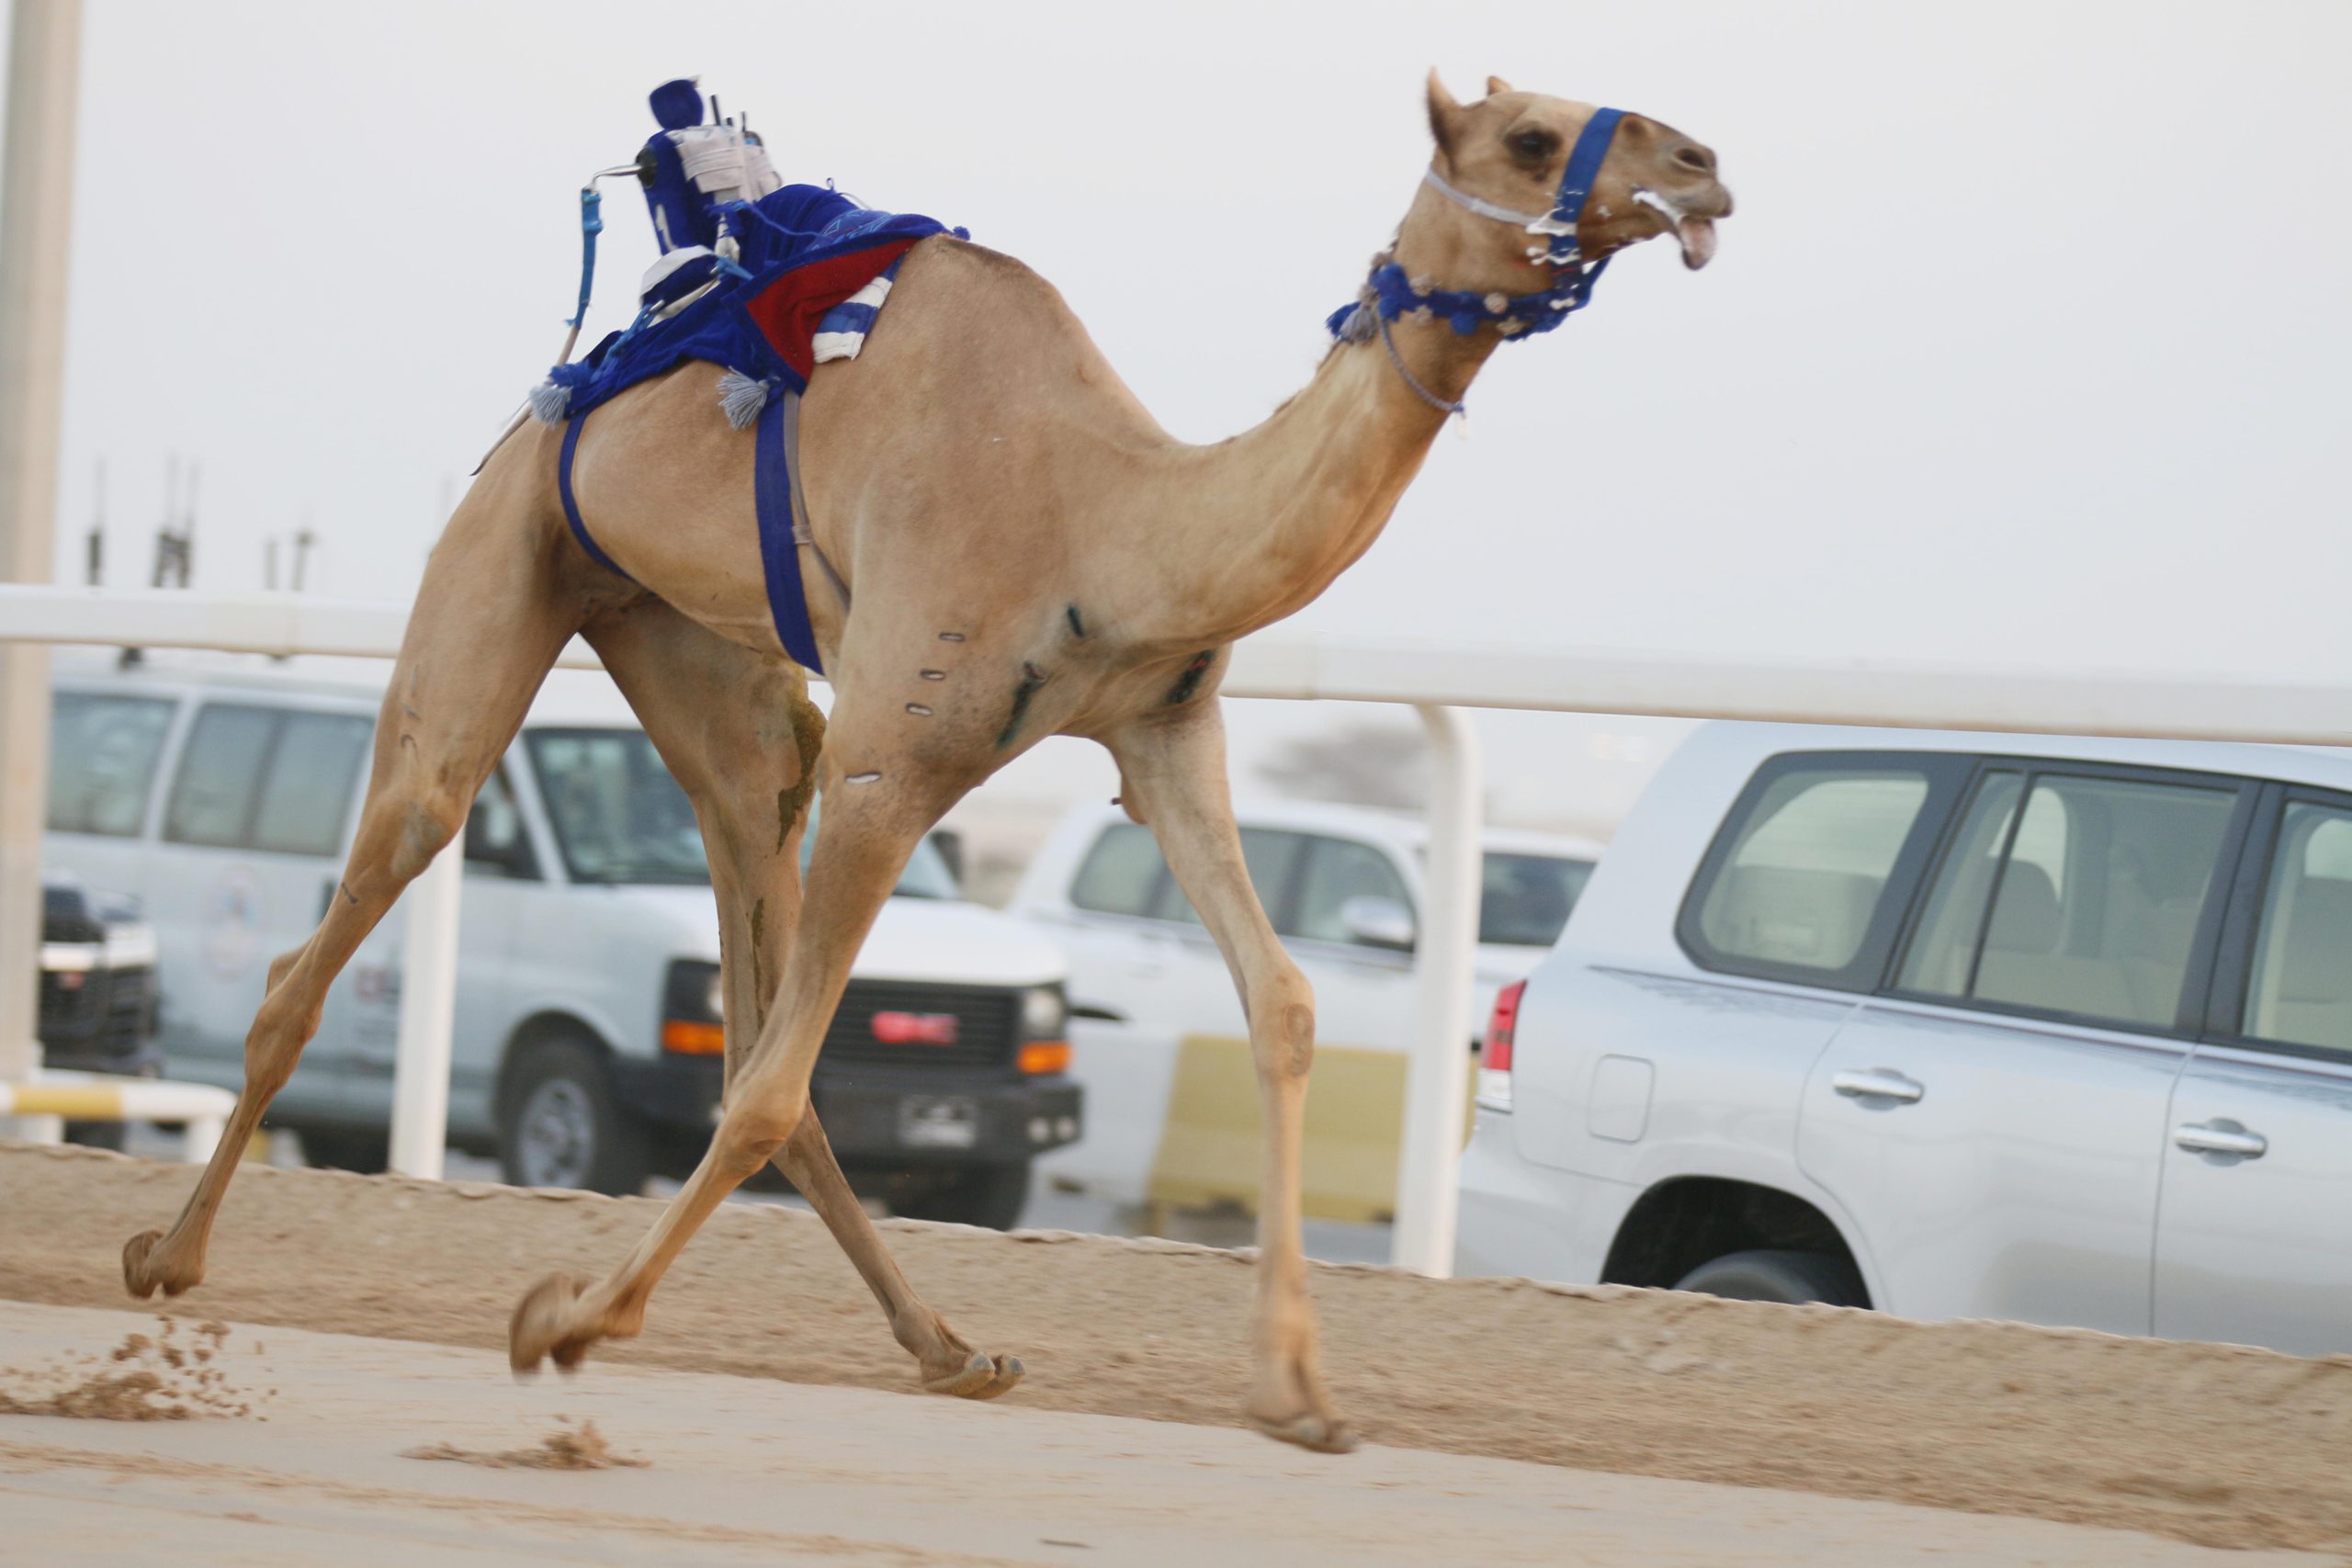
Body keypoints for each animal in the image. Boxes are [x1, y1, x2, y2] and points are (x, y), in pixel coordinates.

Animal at [120, 73, 1730, 1451]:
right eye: (1531, 135)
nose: (1702, 164)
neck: (1108, 513)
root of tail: (583, 374)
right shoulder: (892, 766)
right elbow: (769, 1084)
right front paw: (563, 1321)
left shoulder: (1160, 732)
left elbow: (1279, 1000)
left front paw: (1300, 1389)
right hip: (508, 547)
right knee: (379, 879)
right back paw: (163, 1256)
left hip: (705, 672)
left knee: (744, 904)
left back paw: (950, 1343)